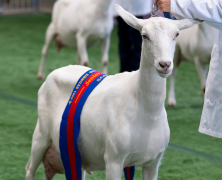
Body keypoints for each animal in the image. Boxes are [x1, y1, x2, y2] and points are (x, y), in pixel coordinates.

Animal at [25, 5, 197, 180]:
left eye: (176, 34)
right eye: (144, 35)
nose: (165, 65)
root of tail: (58, 70)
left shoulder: (153, 162)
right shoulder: (114, 159)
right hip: (41, 134)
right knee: (29, 169)